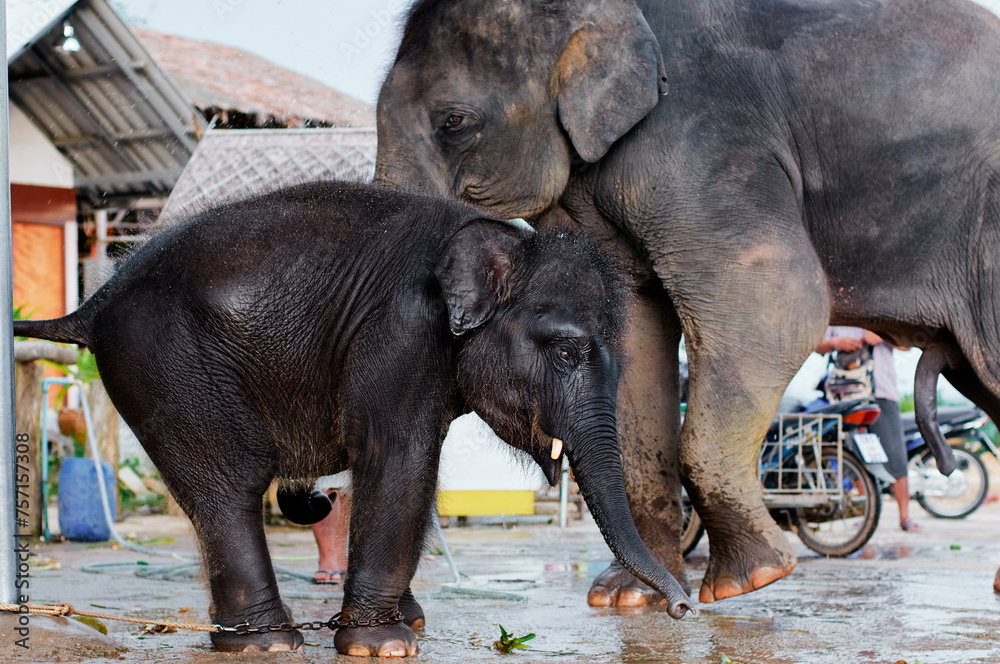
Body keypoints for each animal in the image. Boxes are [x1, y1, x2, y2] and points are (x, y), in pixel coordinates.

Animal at [15, 181, 695, 656]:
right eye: (567, 353)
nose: (683, 608)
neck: (505, 238)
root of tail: (92, 304)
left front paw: (405, 621)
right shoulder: (398, 330)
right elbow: (399, 457)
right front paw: (384, 644)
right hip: (166, 361)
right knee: (230, 484)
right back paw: (266, 643)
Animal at [374, 0, 1000, 607]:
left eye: (454, 122)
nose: (682, 608)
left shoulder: (706, 143)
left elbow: (779, 301)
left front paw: (749, 580)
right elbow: (634, 330)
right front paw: (625, 600)